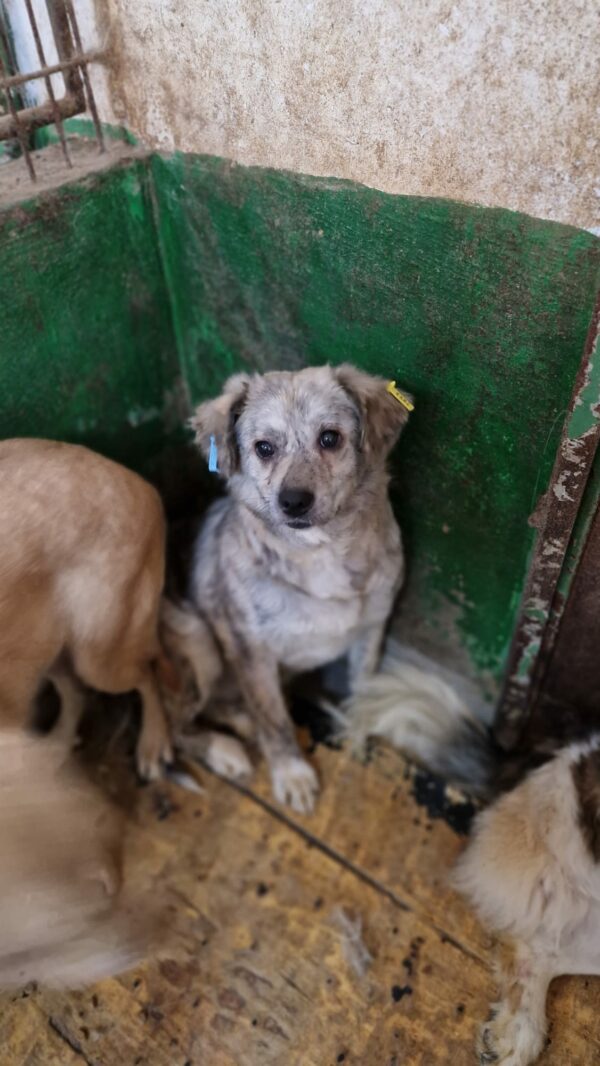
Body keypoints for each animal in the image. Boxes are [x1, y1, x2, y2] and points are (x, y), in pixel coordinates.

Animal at [0, 437, 171, 780]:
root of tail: (141, 483)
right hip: (46, 648)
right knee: (76, 694)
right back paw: (54, 752)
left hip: (100, 657)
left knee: (147, 675)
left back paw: (153, 742)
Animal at [163, 362, 413, 810]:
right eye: (264, 448)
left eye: (329, 438)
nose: (293, 501)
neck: (320, 553)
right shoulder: (253, 653)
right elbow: (276, 720)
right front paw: (292, 774)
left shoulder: (371, 630)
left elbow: (362, 689)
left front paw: (356, 738)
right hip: (198, 643)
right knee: (170, 729)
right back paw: (223, 750)